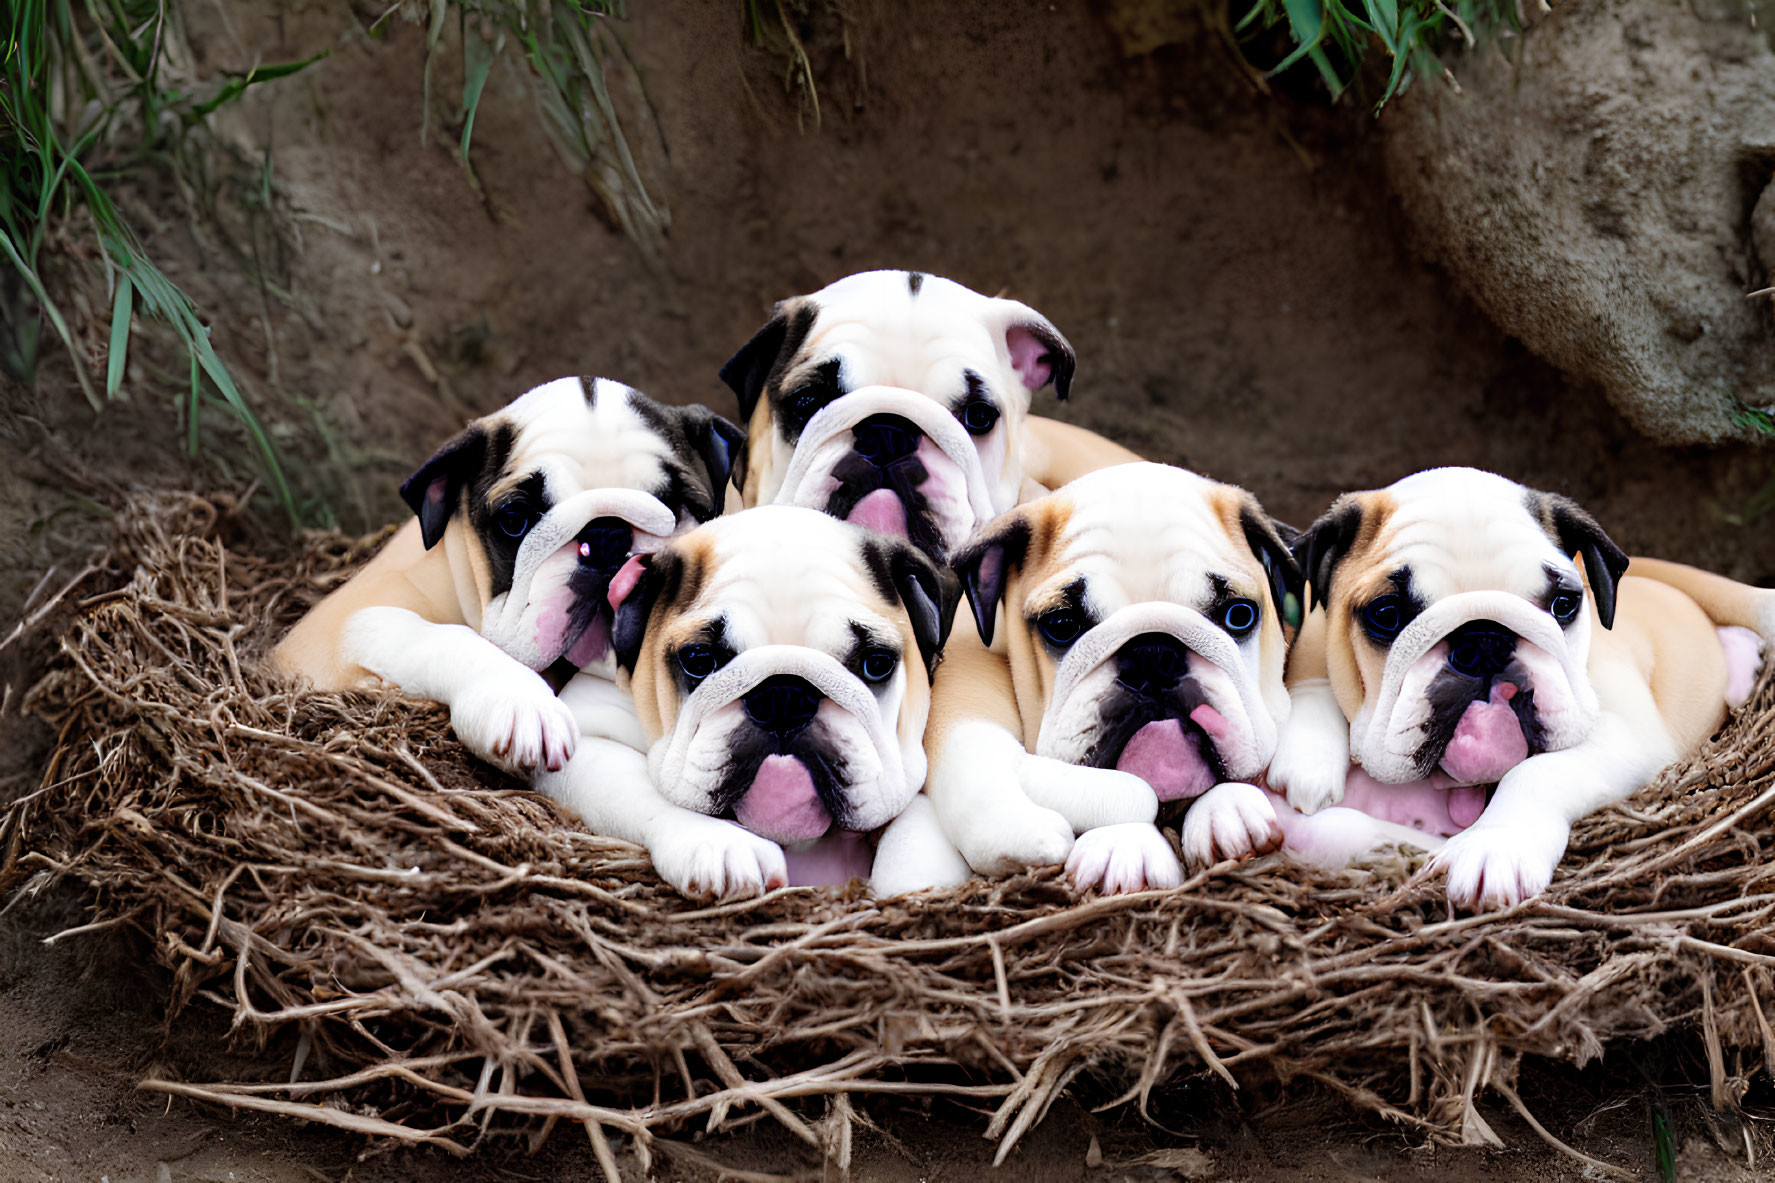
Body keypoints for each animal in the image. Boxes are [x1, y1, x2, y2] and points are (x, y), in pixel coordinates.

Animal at [271, 374, 741, 774]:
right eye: (515, 520)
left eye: (679, 505)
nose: (607, 535)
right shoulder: (337, 625)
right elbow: (444, 637)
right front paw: (520, 701)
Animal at [536, 500, 965, 888]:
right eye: (698, 659)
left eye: (876, 663)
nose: (784, 697)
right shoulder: (589, 740)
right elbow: (642, 794)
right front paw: (720, 845)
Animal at [1199, 465, 1767, 905]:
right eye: (1387, 614)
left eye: (1564, 603)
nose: (1485, 640)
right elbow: (1314, 671)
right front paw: (1304, 758)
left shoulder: (1623, 734)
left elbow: (1537, 774)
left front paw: (1494, 847)